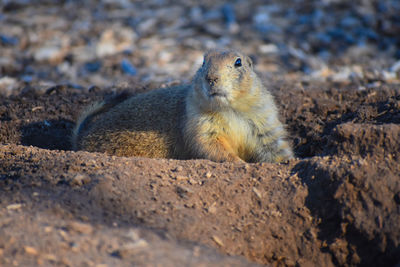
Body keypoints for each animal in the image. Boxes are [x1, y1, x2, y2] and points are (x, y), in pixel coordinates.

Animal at [72, 50, 292, 163]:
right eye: (203, 62)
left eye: (238, 62)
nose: (211, 78)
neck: (229, 109)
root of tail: (81, 139)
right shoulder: (199, 122)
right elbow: (209, 145)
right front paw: (239, 162)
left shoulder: (265, 121)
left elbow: (274, 146)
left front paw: (287, 162)